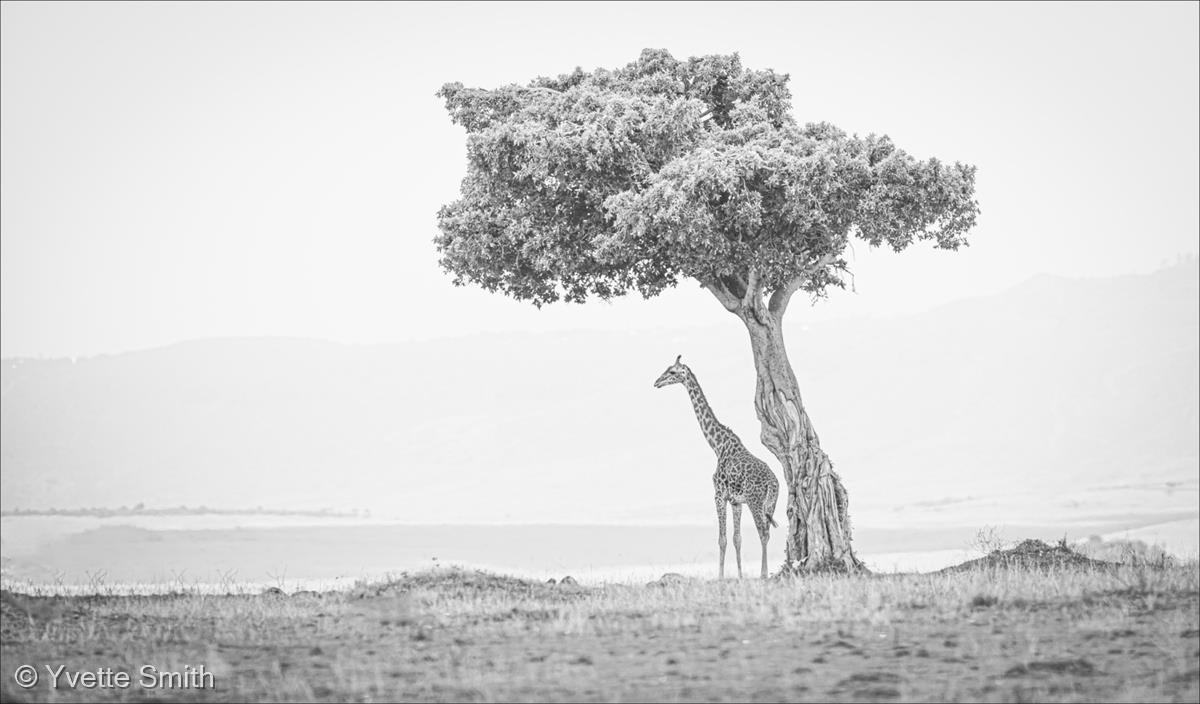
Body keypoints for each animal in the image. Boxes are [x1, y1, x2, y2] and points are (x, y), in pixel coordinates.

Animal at [657, 354, 777, 580]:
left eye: (672, 372)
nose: (656, 382)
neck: (717, 445)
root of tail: (773, 484)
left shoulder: (719, 495)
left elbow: (722, 539)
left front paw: (720, 577)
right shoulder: (736, 501)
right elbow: (737, 538)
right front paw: (739, 576)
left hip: (755, 501)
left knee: (763, 532)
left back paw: (764, 574)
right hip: (770, 504)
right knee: (768, 531)